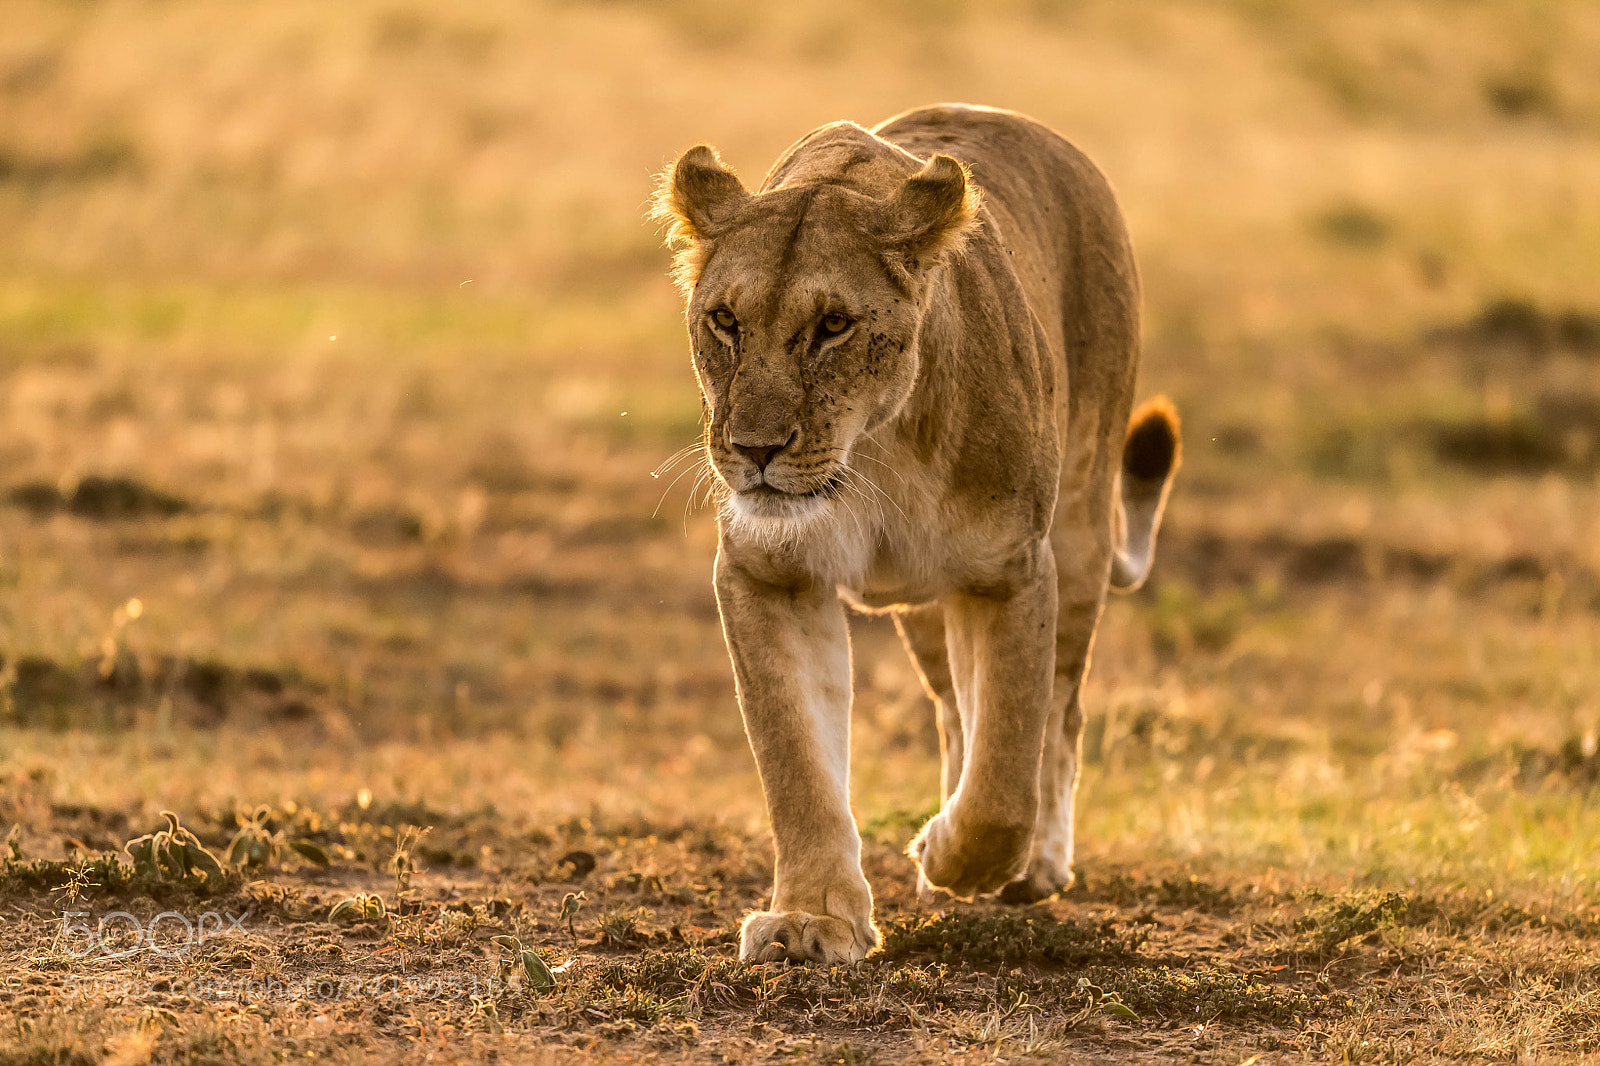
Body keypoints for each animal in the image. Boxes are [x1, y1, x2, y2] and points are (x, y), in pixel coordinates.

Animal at [655, 104, 1180, 965]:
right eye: (724, 322)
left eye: (833, 326)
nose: (755, 450)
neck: (874, 454)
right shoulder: (771, 575)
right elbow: (798, 763)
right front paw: (812, 919)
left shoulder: (1011, 570)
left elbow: (1007, 774)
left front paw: (956, 858)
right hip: (929, 614)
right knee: (956, 711)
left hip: (1078, 530)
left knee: (1058, 716)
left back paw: (1037, 865)